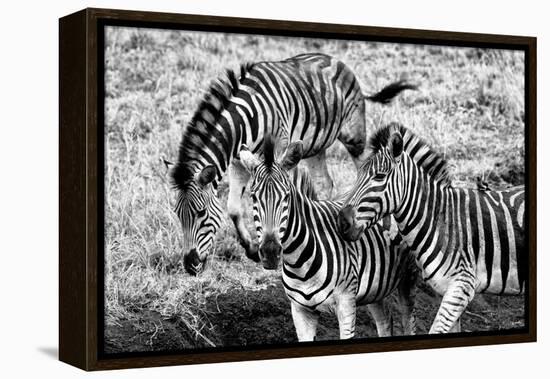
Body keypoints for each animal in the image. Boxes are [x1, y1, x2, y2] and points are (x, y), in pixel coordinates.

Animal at [166, 52, 416, 276]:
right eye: (178, 214)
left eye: (201, 213)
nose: (190, 266)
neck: (243, 121)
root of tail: (336, 60)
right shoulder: (239, 162)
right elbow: (234, 208)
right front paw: (252, 249)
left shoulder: (279, 152)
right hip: (315, 146)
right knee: (325, 183)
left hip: (354, 137)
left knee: (367, 169)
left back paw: (383, 224)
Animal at [238, 136, 418, 342]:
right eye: (253, 197)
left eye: (286, 197)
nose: (270, 252)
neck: (300, 262)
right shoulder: (300, 311)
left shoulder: (346, 303)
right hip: (376, 287)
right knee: (385, 320)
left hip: (408, 276)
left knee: (408, 320)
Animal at [338, 123, 528, 334]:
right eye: (357, 176)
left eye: (379, 176)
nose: (342, 222)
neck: (440, 220)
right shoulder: (448, 290)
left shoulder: (461, 286)